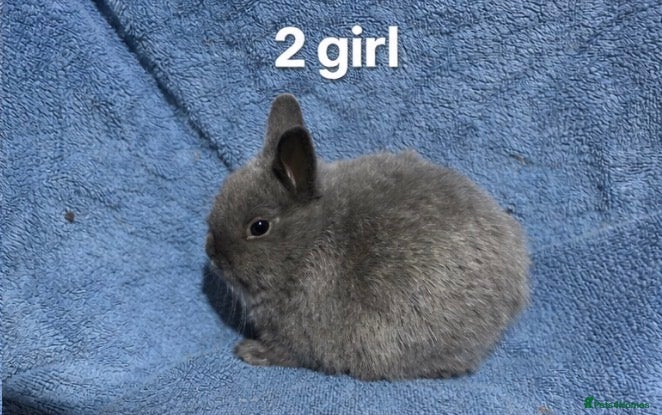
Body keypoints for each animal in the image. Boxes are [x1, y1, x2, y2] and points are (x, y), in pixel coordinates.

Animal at [205, 93, 529, 380]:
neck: (310, 242)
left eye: (259, 226)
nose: (212, 254)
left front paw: (249, 351)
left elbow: (288, 353)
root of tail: (516, 269)